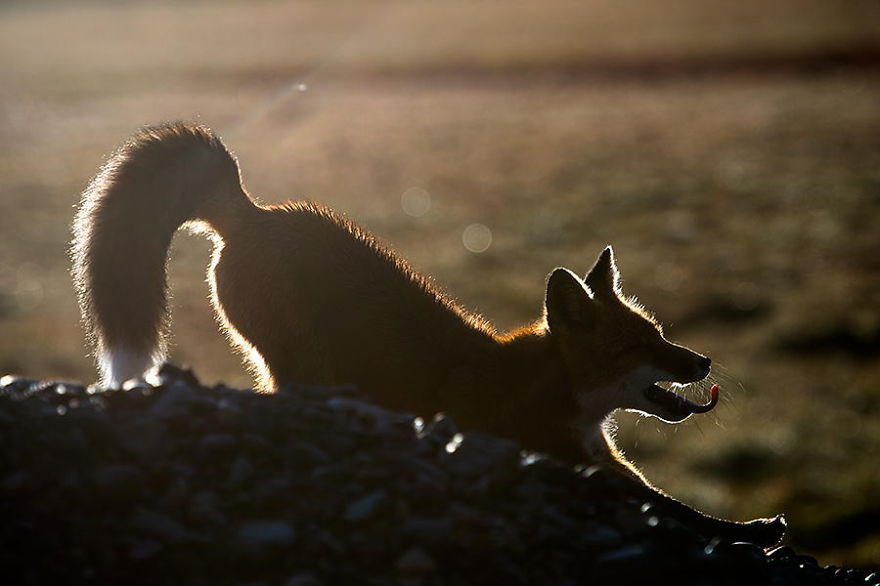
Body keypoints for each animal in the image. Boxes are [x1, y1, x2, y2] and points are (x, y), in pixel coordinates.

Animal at [71, 122, 784, 546]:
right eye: (636, 347)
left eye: (660, 334)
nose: (702, 361)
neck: (552, 391)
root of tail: (252, 212)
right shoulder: (568, 460)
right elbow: (673, 513)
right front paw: (753, 533)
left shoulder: (606, 462)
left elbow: (681, 506)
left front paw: (751, 527)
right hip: (304, 364)